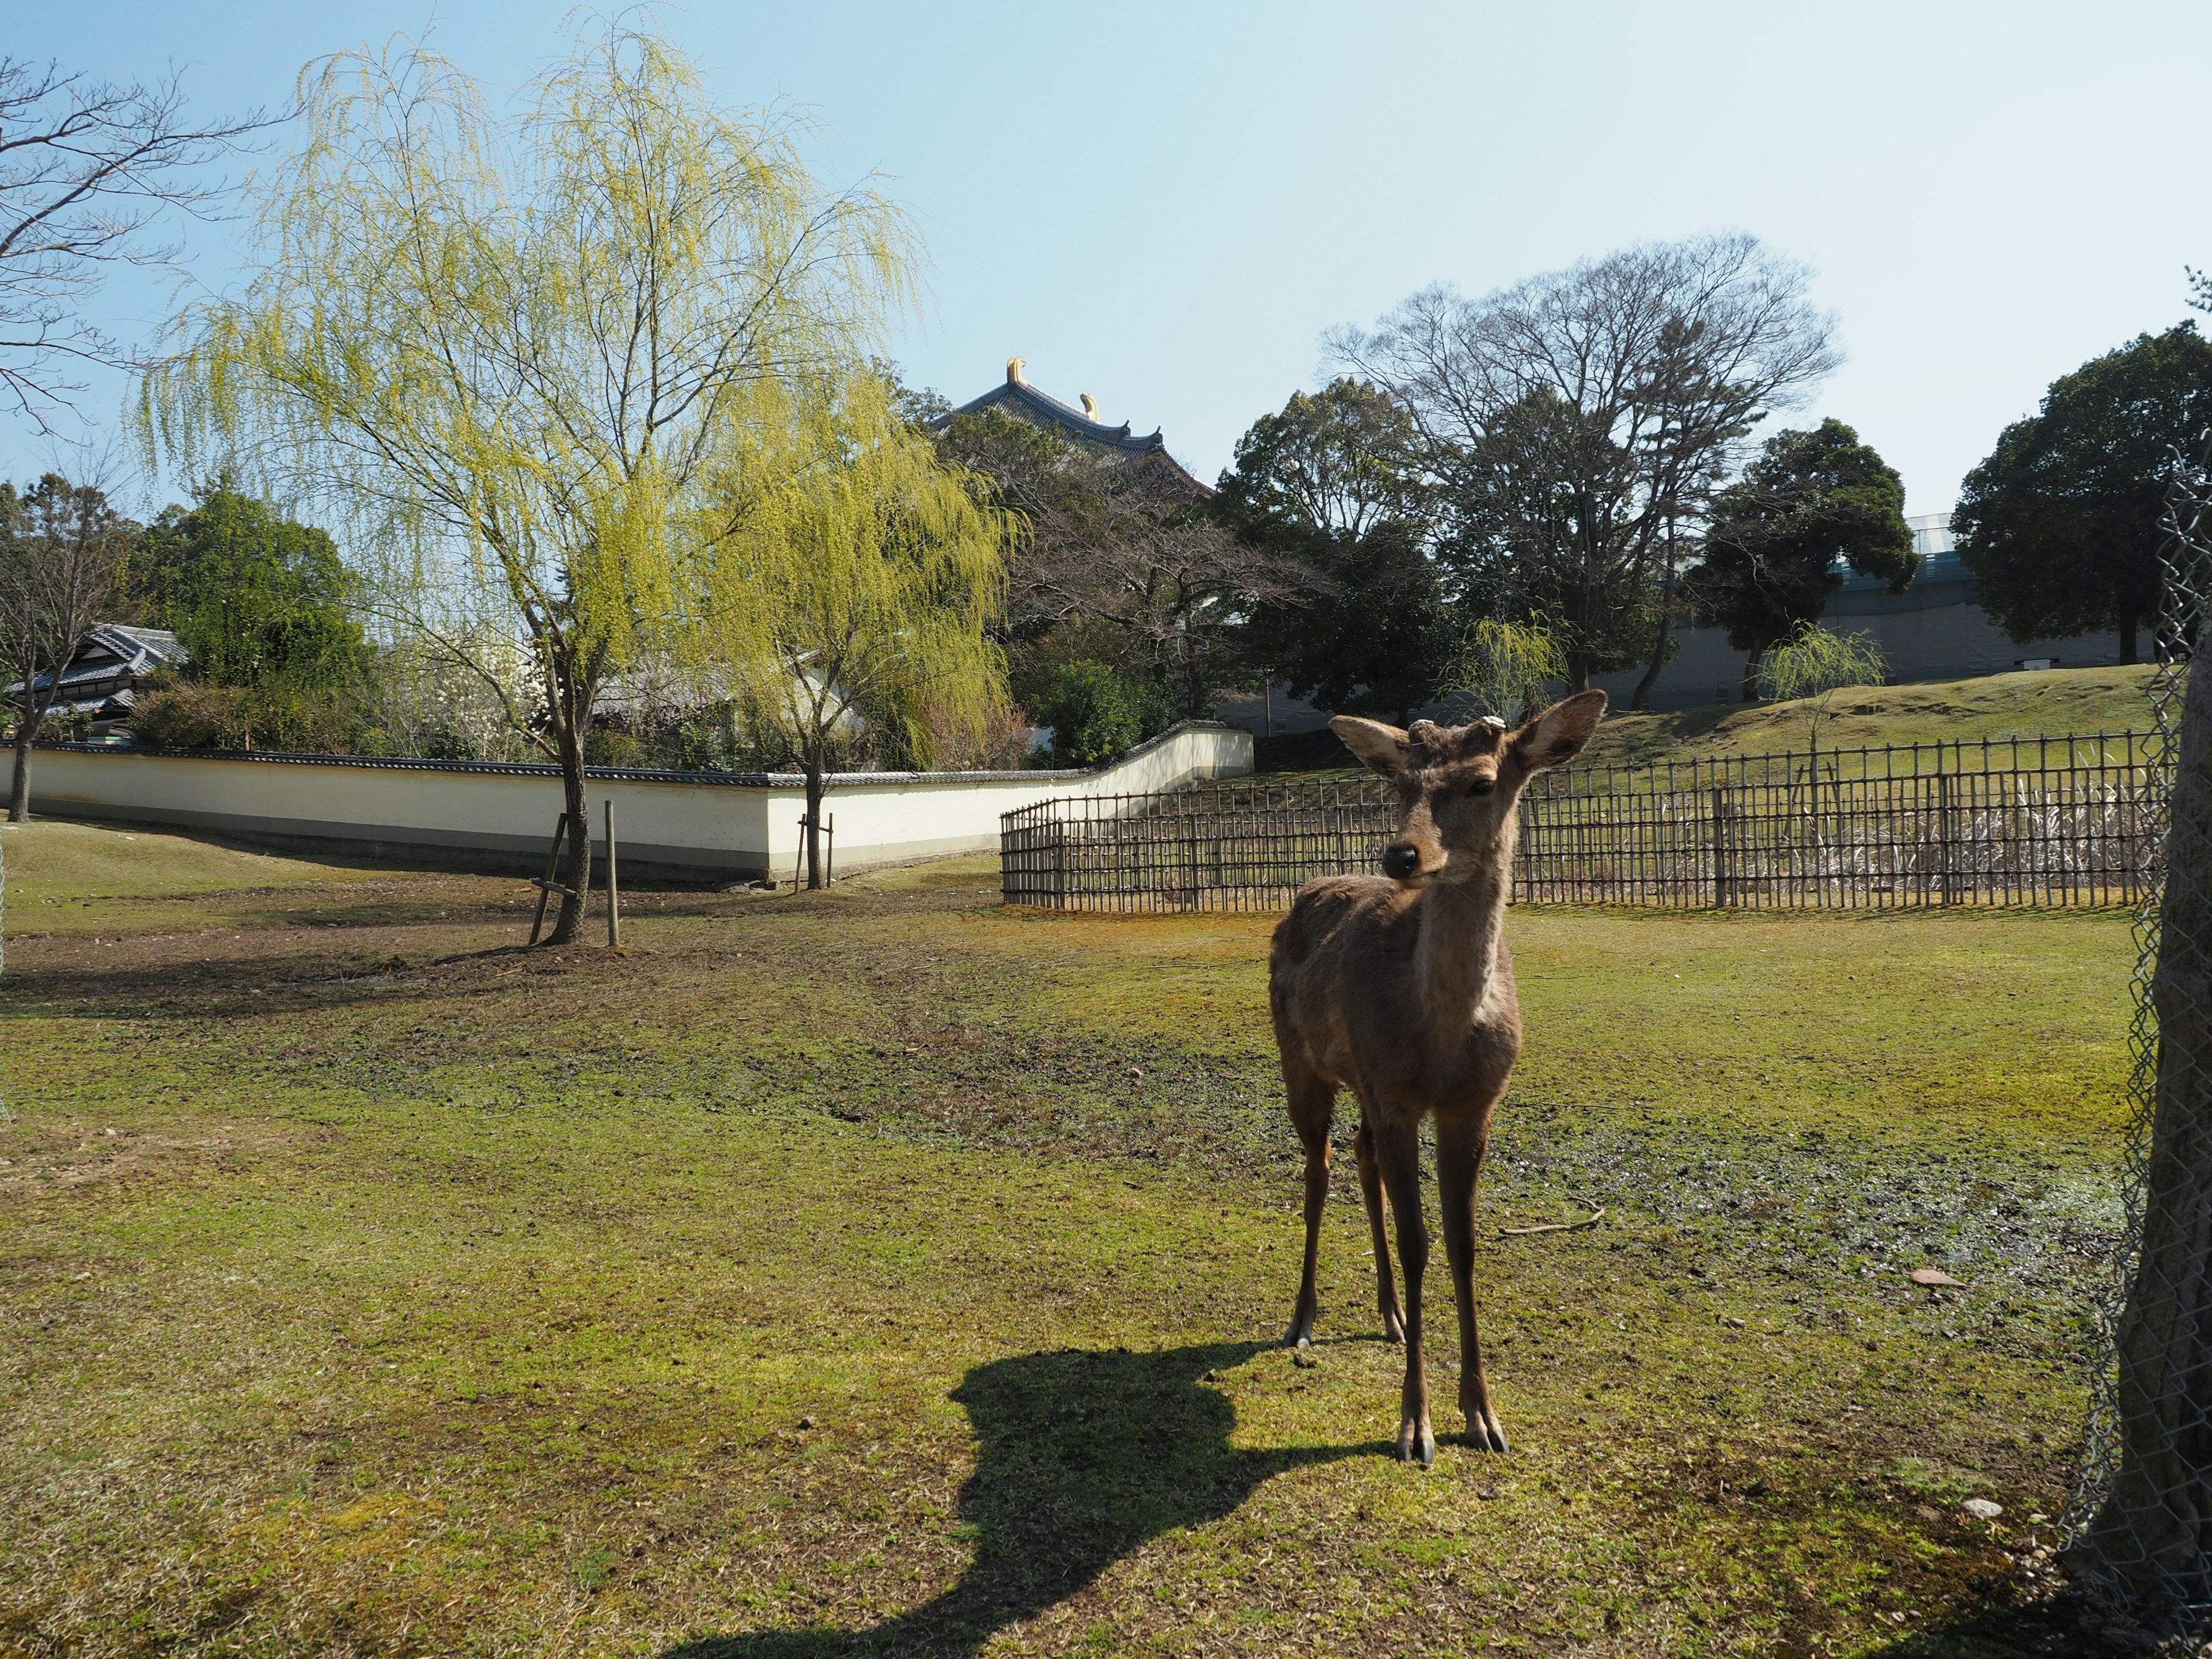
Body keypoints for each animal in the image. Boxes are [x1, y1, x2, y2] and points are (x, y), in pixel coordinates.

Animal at [1265, 690, 1610, 1468]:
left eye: (1483, 782)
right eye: (1400, 785)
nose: (1402, 854)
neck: (1442, 1038)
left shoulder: (1472, 1106)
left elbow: (1463, 1244)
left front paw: (1483, 1414)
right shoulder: (1396, 1096)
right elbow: (1420, 1241)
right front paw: (1414, 1425)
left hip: (1361, 1084)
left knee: (1360, 1160)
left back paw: (1390, 1314)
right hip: (1302, 1062)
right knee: (1317, 1171)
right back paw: (1302, 1318)